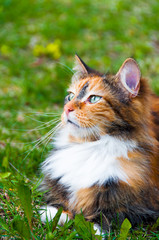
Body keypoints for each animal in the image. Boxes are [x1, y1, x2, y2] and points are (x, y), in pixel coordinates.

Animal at [39, 54, 159, 236]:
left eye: (94, 98)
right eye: (70, 96)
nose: (67, 108)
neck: (91, 145)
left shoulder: (141, 205)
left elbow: (114, 213)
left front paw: (93, 228)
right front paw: (55, 213)